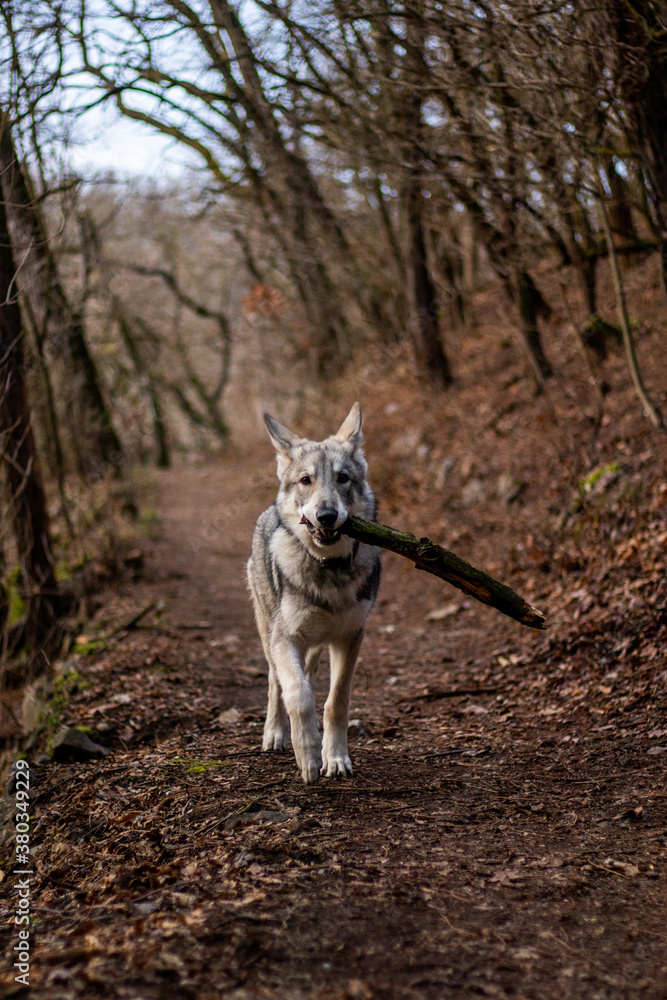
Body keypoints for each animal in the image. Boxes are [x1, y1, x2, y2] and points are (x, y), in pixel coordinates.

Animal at [247, 402, 381, 784]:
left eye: (343, 478)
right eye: (306, 480)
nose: (327, 515)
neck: (328, 569)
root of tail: (268, 511)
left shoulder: (350, 637)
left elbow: (336, 702)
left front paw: (334, 758)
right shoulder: (285, 639)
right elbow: (298, 694)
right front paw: (307, 754)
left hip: (317, 646)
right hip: (270, 635)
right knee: (276, 683)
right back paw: (275, 734)